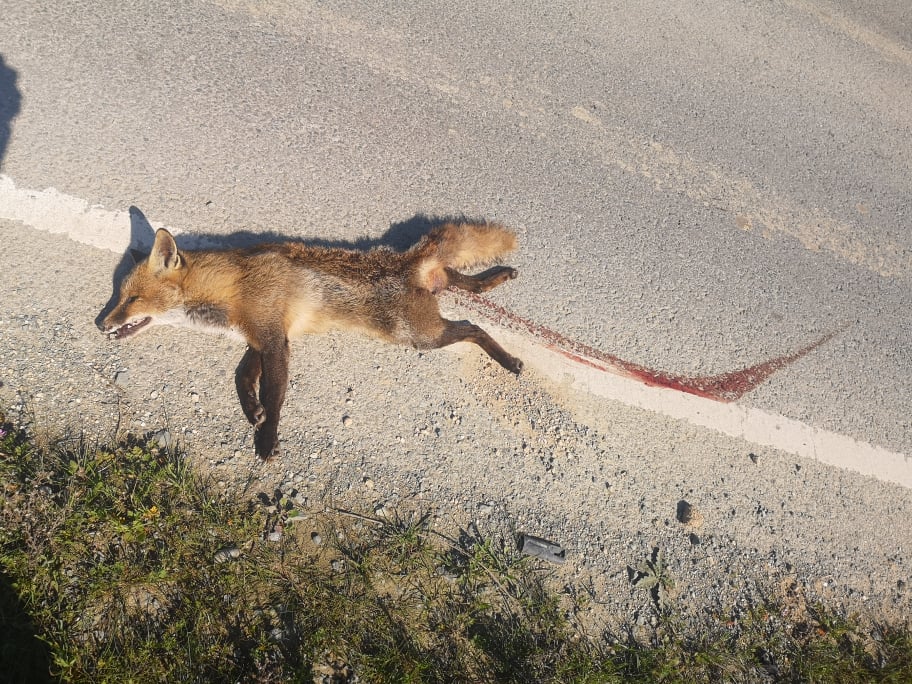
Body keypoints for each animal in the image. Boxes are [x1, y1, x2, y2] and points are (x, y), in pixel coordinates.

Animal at [100, 223, 520, 460]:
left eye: (131, 299)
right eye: (119, 295)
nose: (101, 324)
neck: (231, 288)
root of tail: (408, 262)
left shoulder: (274, 341)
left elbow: (274, 395)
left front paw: (267, 439)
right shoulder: (260, 338)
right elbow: (242, 378)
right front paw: (252, 412)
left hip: (419, 335)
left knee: (473, 326)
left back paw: (509, 360)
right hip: (432, 305)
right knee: (460, 280)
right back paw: (496, 276)